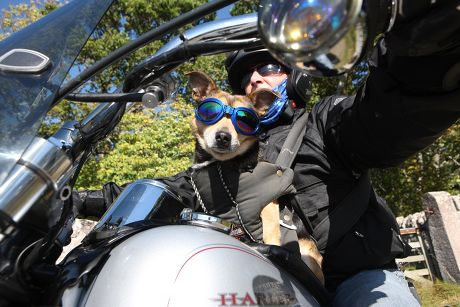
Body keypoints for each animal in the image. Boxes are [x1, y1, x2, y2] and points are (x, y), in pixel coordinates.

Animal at [187, 71, 324, 286]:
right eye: (210, 112)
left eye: (244, 120)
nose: (223, 137)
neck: (224, 165)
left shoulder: (268, 201)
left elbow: (270, 231)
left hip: (308, 253)